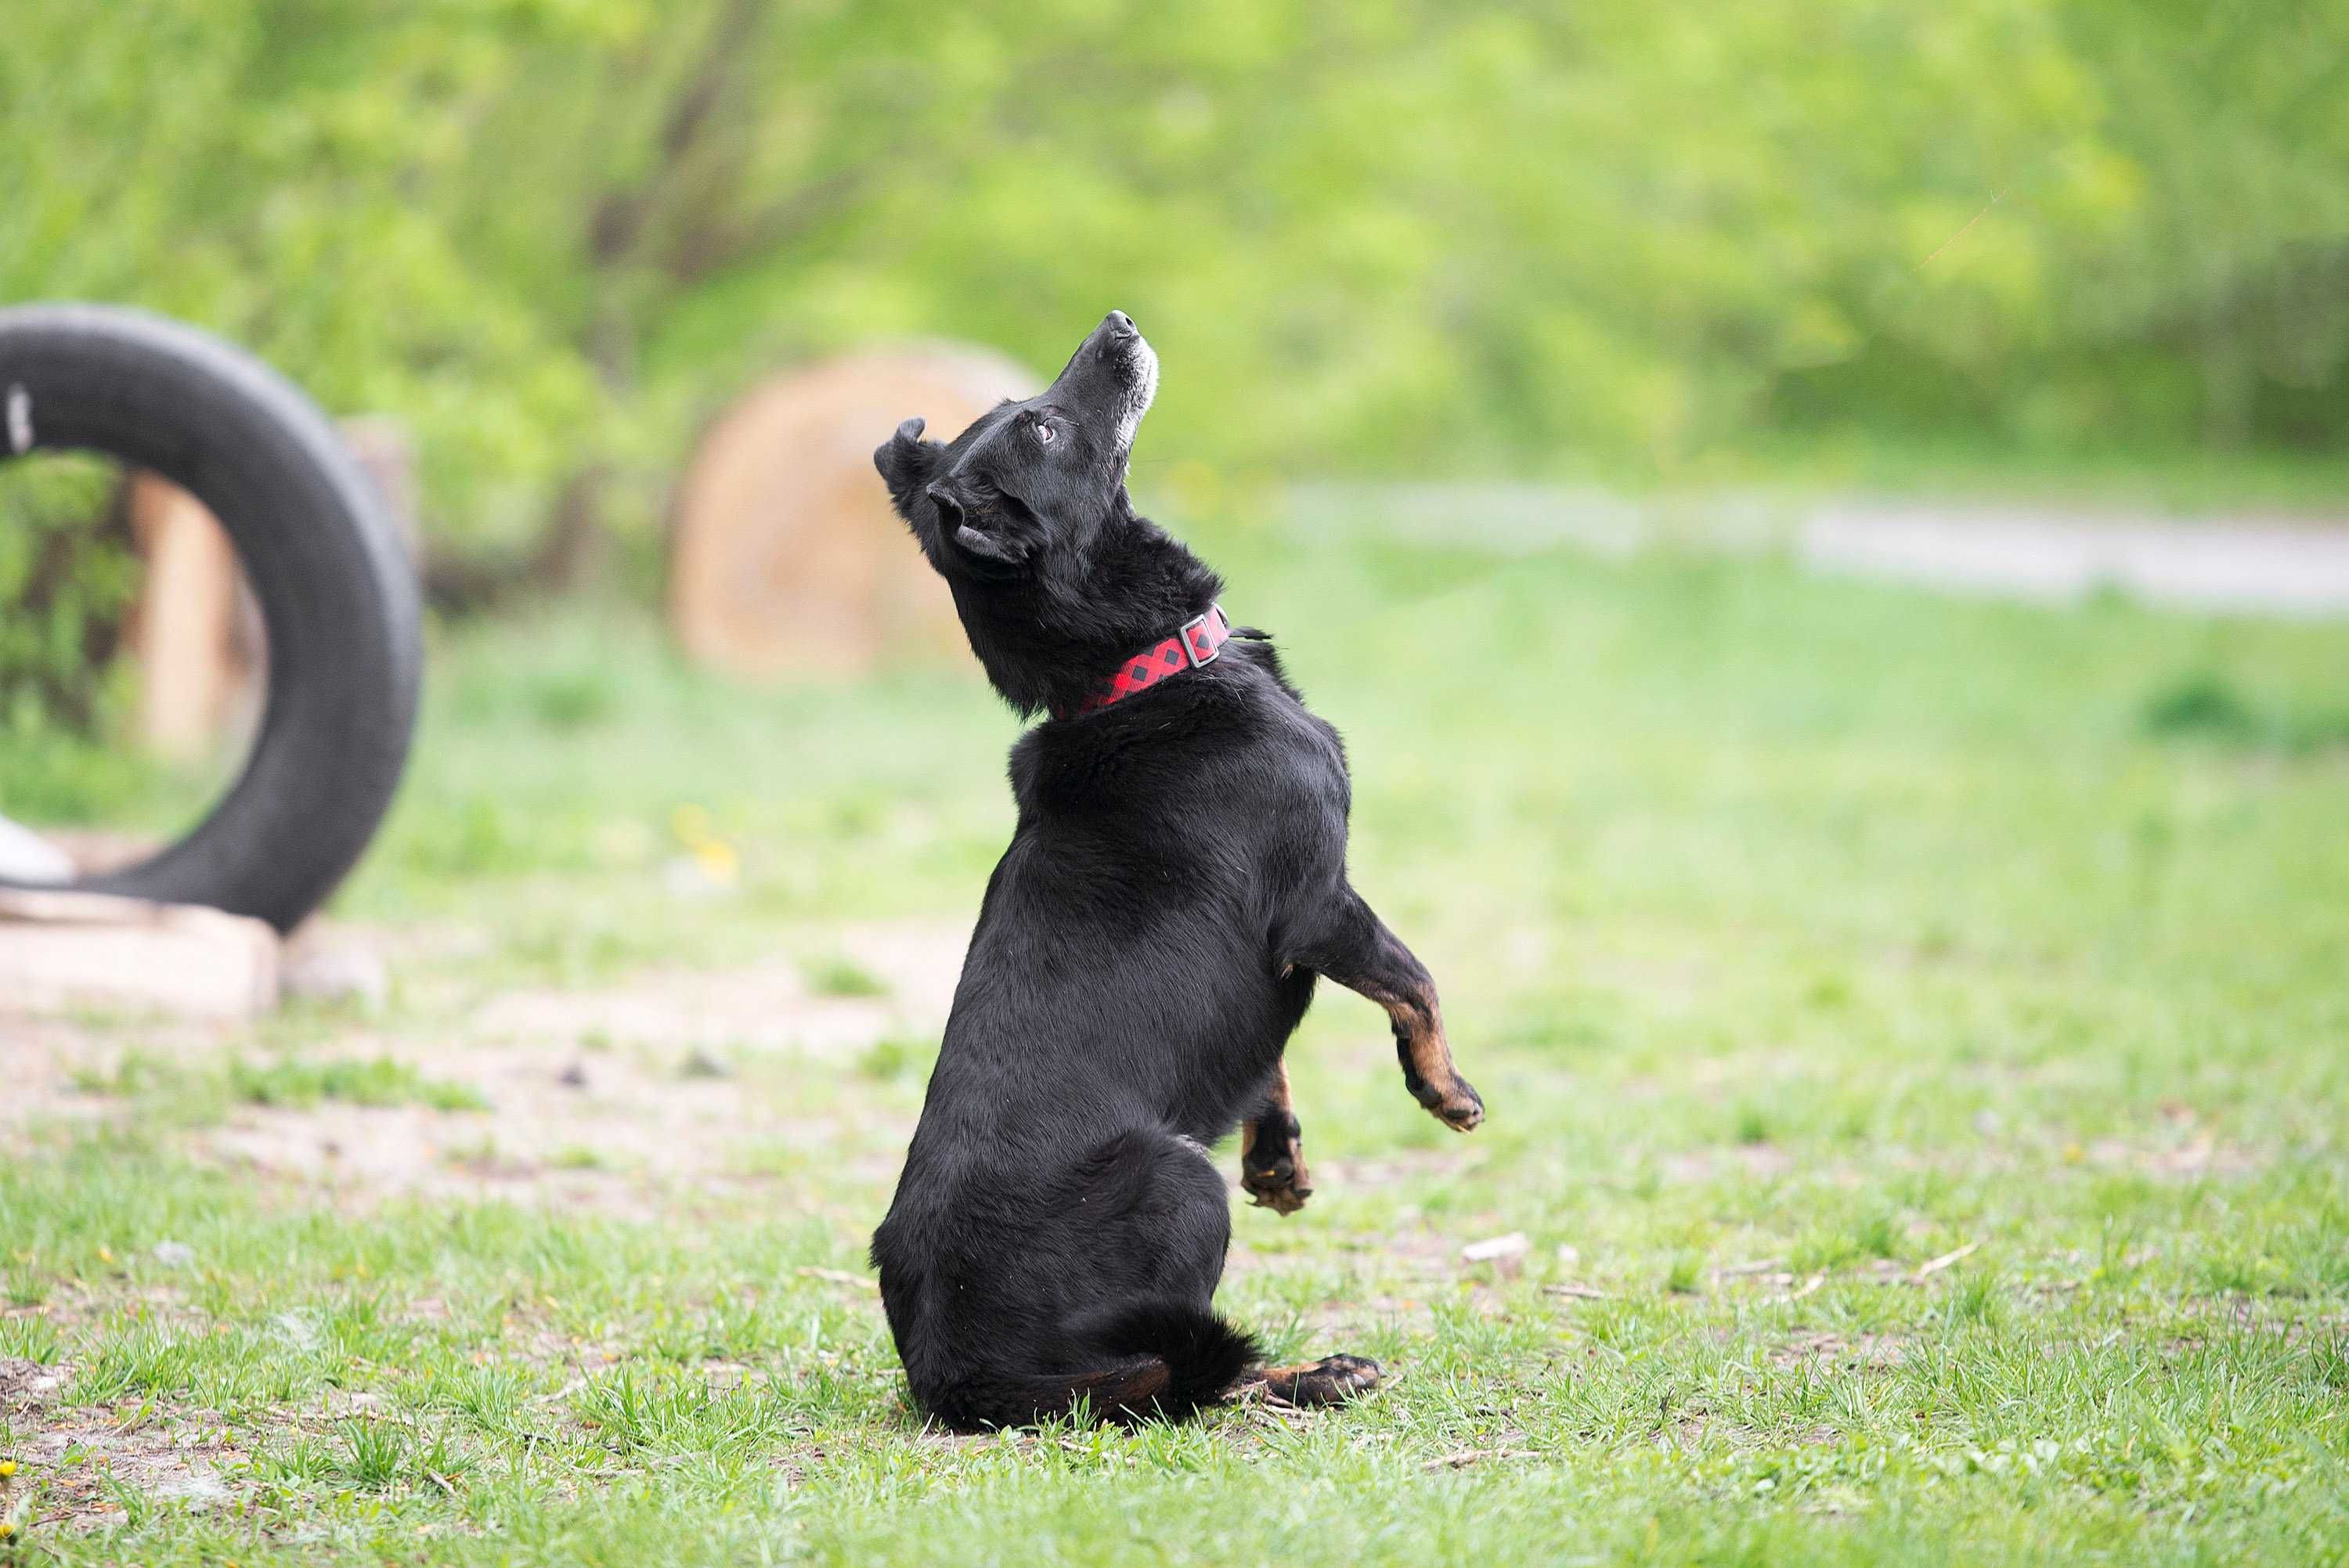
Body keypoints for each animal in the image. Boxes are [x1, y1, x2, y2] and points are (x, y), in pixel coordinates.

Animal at [864, 312, 1485, 1427]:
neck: (1140, 670)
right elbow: (1415, 979)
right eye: (1043, 425)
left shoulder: (1280, 959)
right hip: (1179, 1183)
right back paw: (1317, 1374)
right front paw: (1446, 1090)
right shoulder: (1321, 904)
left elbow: (1266, 1059)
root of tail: (946, 1368)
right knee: (1193, 1378)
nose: (1115, 325)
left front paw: (1278, 1159)